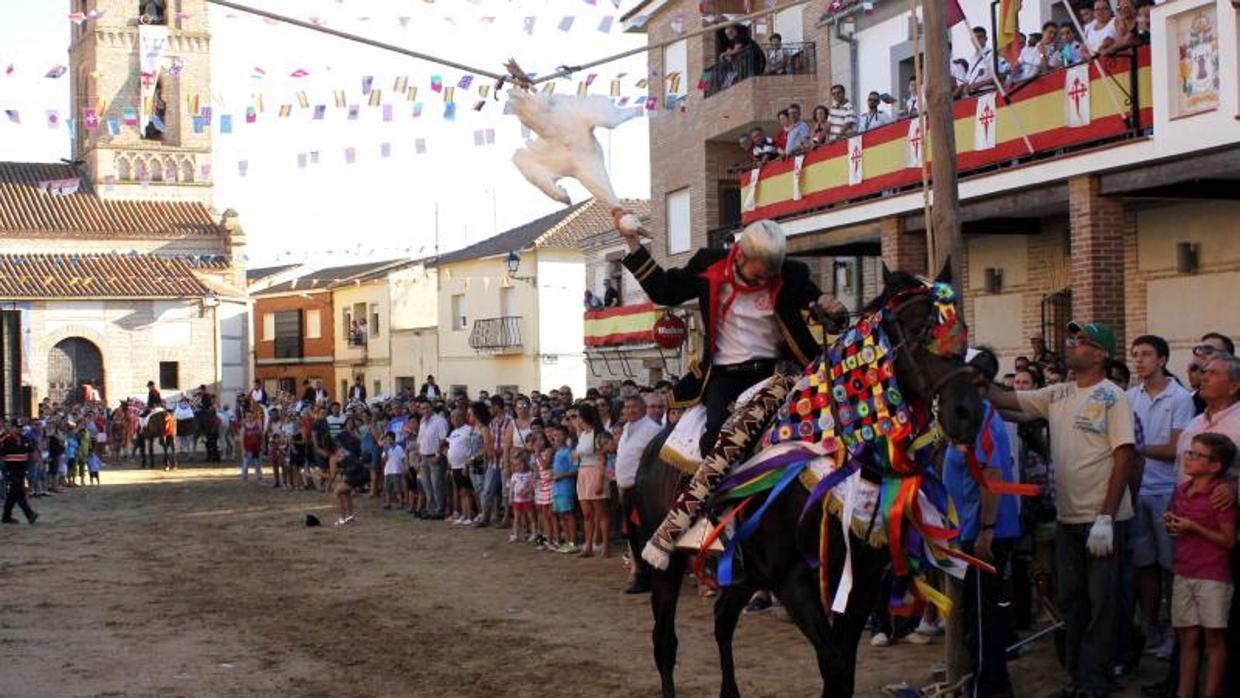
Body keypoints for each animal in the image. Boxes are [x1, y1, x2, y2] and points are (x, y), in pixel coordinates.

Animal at [634, 264, 982, 698]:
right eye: (919, 330)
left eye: (962, 329)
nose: (968, 413)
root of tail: (651, 448)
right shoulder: (794, 580)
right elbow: (832, 665)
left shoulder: (862, 579)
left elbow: (843, 672)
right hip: (667, 568)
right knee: (664, 643)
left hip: (744, 573)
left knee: (721, 621)